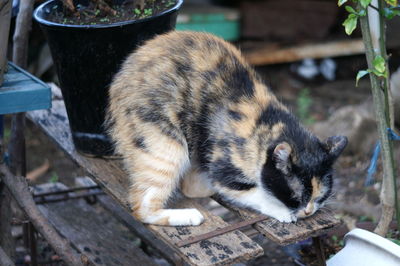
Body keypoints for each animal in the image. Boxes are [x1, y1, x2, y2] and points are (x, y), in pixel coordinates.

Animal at [106, 31, 346, 227]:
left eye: (320, 196)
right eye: (296, 197)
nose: (308, 211)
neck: (266, 123)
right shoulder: (224, 167)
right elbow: (252, 192)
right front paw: (280, 210)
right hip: (166, 147)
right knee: (142, 208)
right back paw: (189, 215)